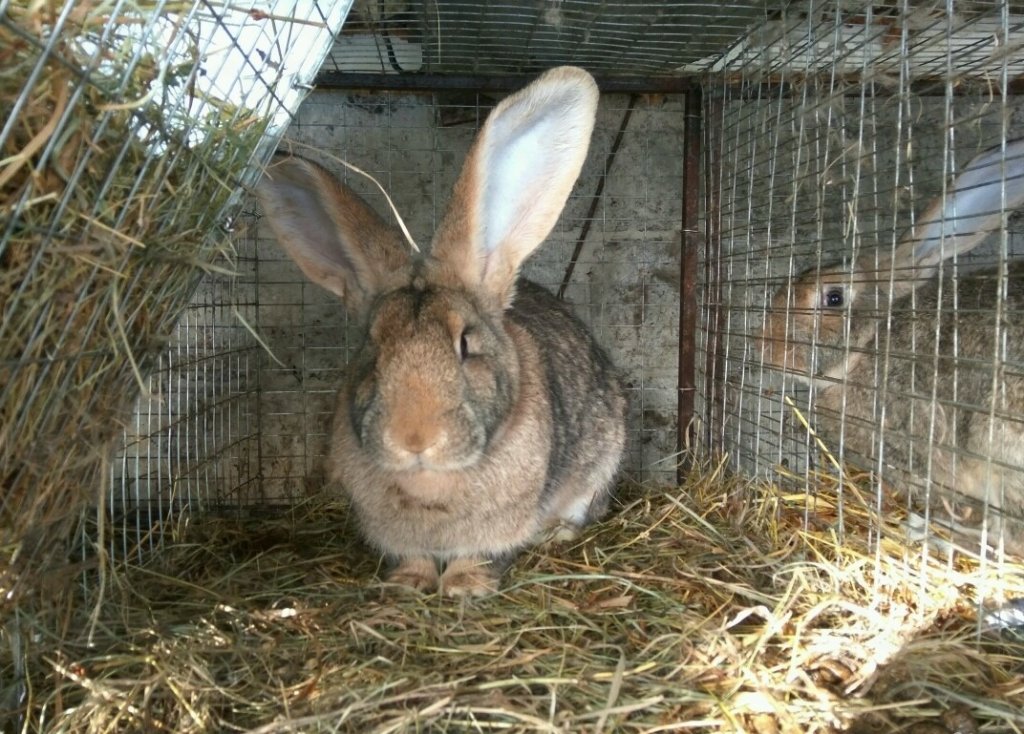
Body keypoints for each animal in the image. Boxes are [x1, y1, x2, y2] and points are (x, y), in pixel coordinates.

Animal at [253, 67, 622, 593]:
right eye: (372, 346)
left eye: (465, 343)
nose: (413, 437)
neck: (430, 481)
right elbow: (413, 558)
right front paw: (406, 586)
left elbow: (479, 555)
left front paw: (466, 586)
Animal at [761, 137, 1024, 552]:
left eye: (833, 298)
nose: (765, 349)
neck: (868, 348)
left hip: (998, 447)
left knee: (1010, 534)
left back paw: (934, 535)